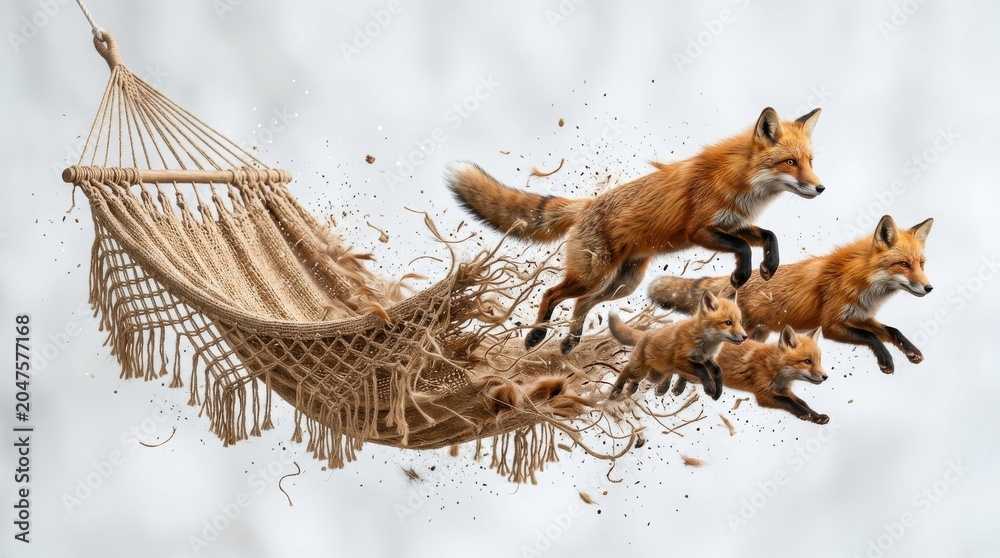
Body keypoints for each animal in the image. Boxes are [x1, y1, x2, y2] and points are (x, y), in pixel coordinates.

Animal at [447, 107, 823, 354]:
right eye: (790, 162)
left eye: (809, 161)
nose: (821, 188)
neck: (739, 183)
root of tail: (588, 205)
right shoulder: (699, 231)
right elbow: (743, 249)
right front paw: (742, 275)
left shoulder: (733, 224)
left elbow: (768, 235)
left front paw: (769, 266)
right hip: (593, 276)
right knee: (552, 294)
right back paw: (536, 337)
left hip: (622, 284)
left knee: (582, 303)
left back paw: (570, 342)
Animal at [608, 289, 747, 400]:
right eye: (728, 322)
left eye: (740, 322)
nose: (745, 336)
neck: (706, 343)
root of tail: (646, 333)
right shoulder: (680, 359)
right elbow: (701, 369)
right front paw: (710, 388)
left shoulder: (707, 358)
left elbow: (718, 372)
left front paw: (718, 391)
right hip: (639, 370)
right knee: (626, 370)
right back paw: (615, 391)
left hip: (655, 375)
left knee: (639, 379)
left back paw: (631, 389)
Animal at [649, 215, 933, 374]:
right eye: (903, 265)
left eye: (921, 264)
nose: (929, 288)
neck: (861, 280)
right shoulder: (831, 324)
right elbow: (872, 338)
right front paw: (886, 360)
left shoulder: (858, 315)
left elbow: (891, 331)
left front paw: (912, 351)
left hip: (756, 334)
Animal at [670, 325, 830, 424]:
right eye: (807, 361)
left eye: (819, 360)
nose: (825, 377)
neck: (772, 367)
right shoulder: (763, 394)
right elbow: (789, 402)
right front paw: (804, 414)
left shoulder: (783, 390)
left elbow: (802, 402)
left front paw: (817, 416)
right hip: (696, 376)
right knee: (679, 370)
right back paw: (673, 388)